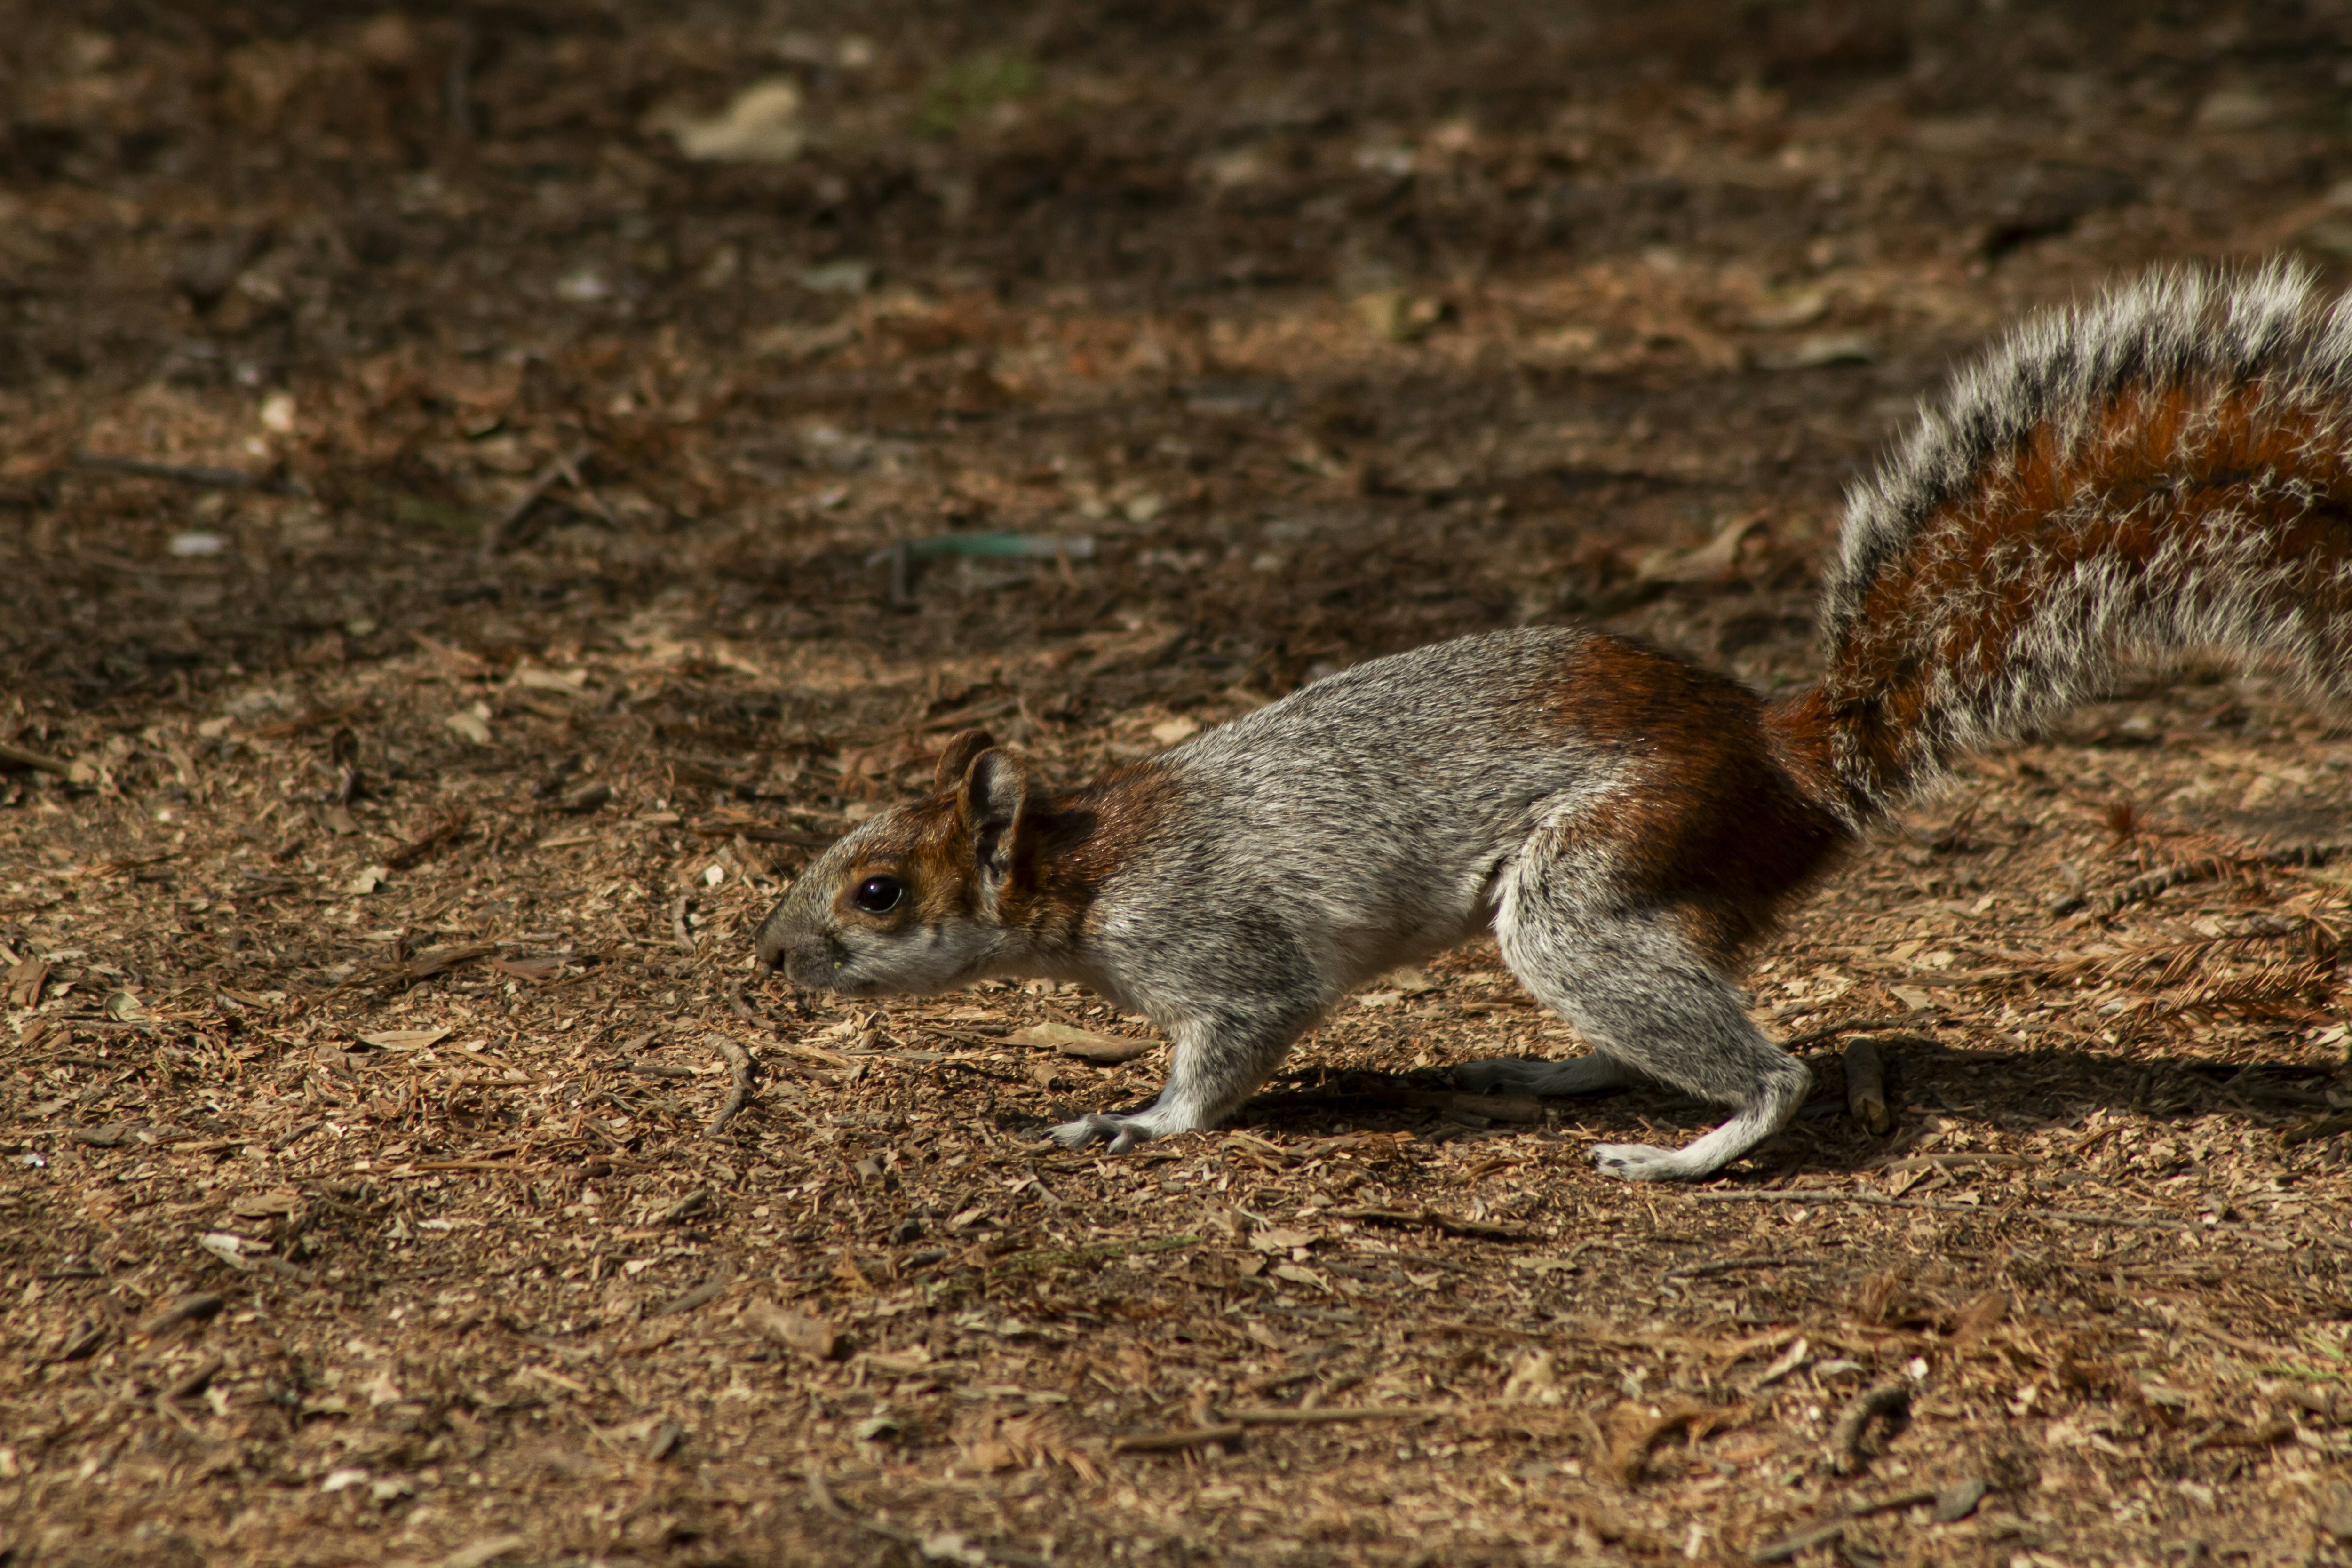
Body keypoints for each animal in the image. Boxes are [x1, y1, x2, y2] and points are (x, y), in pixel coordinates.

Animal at [756, 261, 2352, 1181]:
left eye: (879, 890)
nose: (767, 957)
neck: (1086, 864)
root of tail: (1785, 755)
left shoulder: (1224, 949)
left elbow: (1223, 1054)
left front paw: (1138, 1122)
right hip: (1636, 899)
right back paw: (1556, 1068)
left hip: (1593, 873)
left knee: (1764, 1060)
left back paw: (1693, 1146)